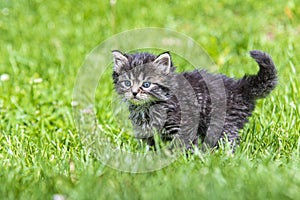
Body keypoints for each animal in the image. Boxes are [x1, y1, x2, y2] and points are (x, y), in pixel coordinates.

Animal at [111, 50, 278, 150]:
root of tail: (239, 86)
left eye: (146, 84)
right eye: (127, 83)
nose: (134, 93)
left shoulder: (184, 124)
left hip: (223, 123)